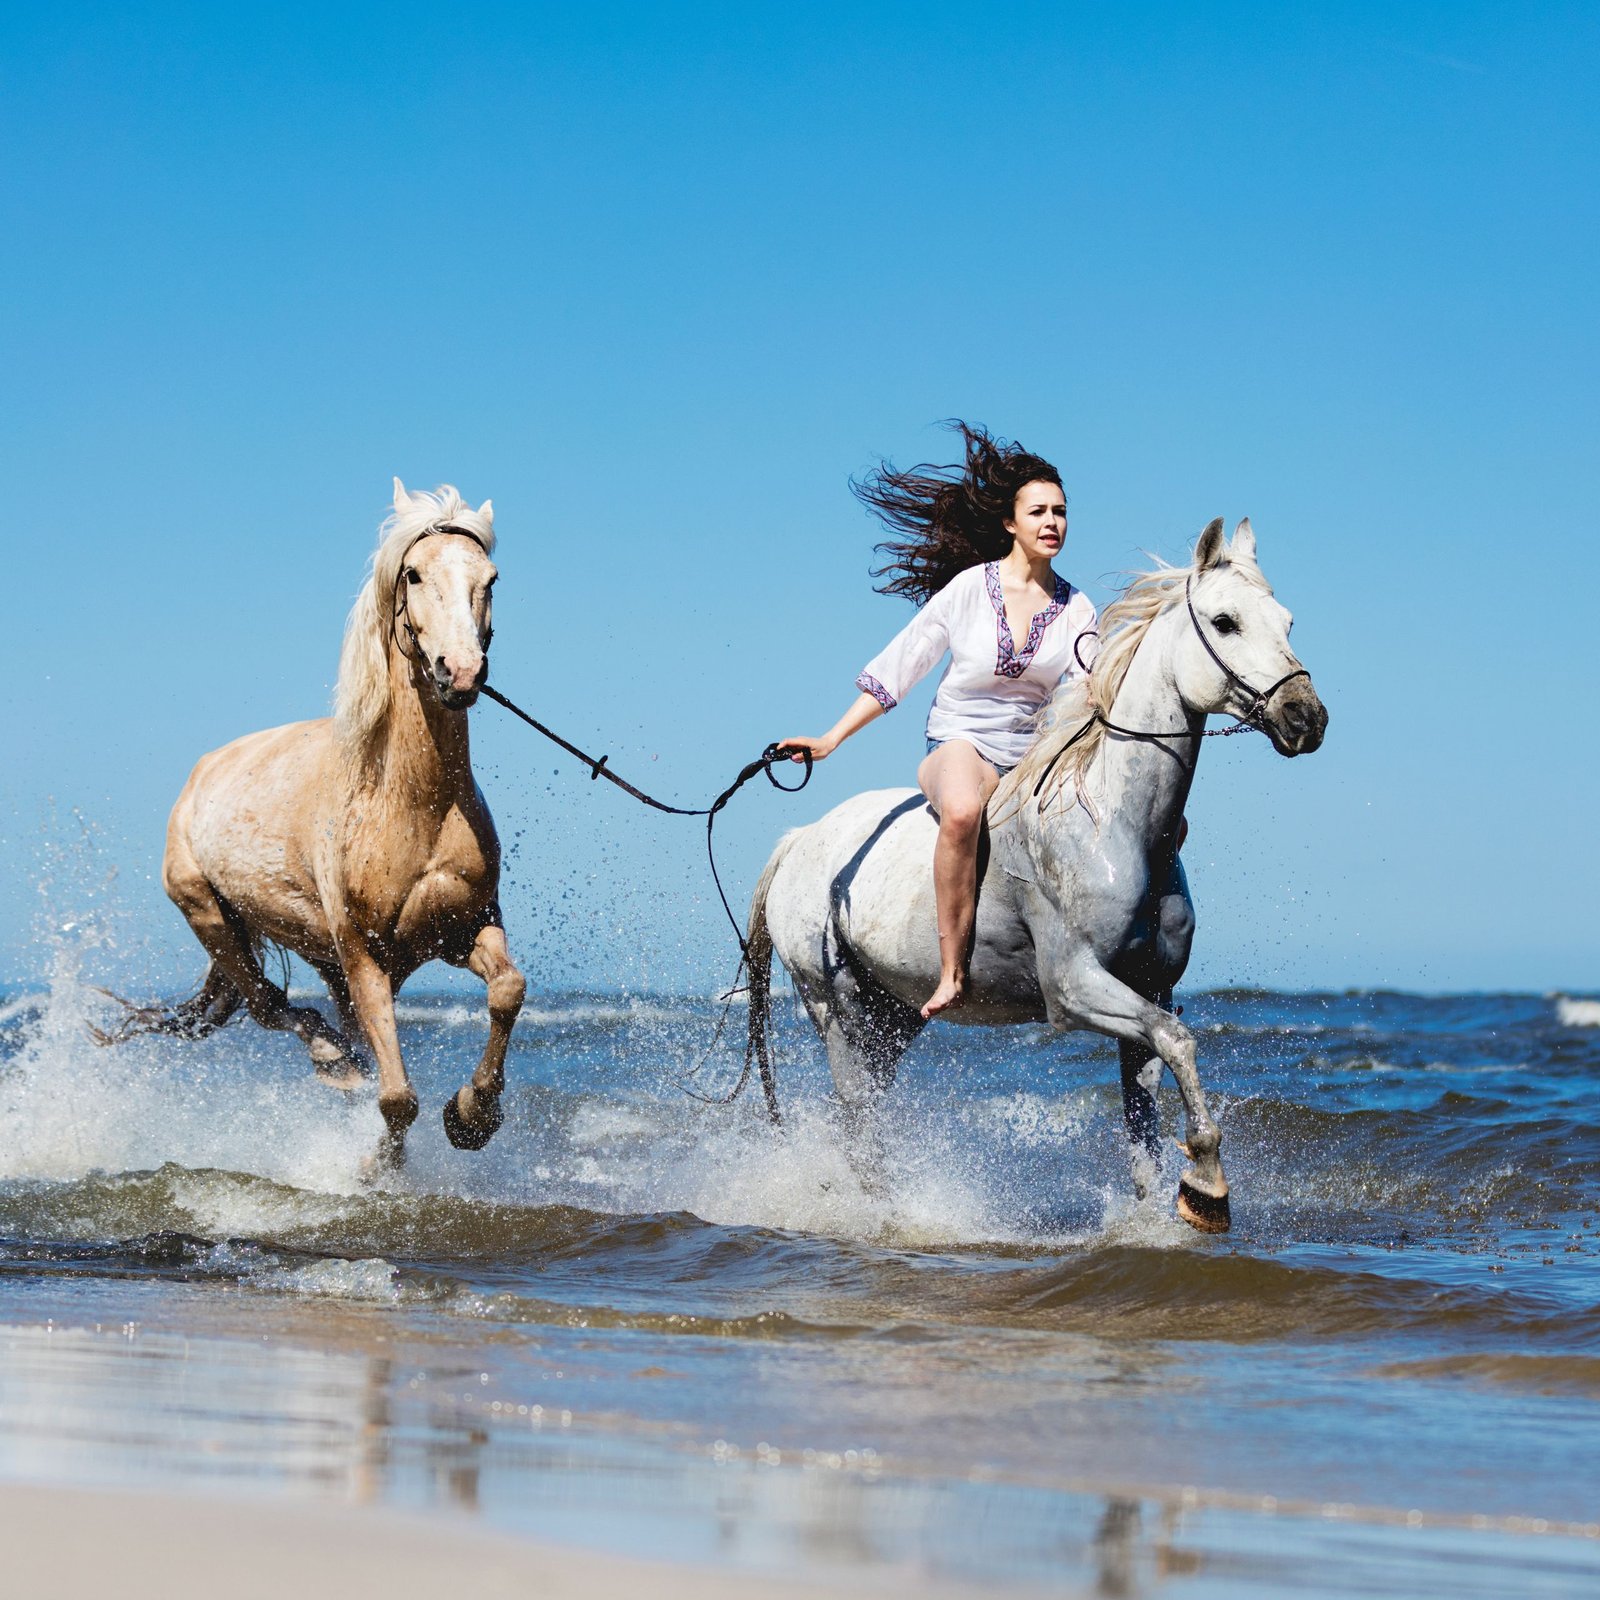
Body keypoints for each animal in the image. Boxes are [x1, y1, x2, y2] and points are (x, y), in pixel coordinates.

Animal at [101, 480, 524, 1171]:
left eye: (490, 578)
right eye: (413, 574)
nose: (459, 672)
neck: (411, 806)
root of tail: (200, 774)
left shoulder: (466, 928)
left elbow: (508, 990)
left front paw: (471, 1116)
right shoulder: (362, 955)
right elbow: (397, 1099)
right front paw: (379, 1169)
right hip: (212, 919)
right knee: (267, 1005)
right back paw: (333, 1060)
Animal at [748, 518, 1324, 1228]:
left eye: (1287, 621)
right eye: (1225, 621)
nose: (1307, 717)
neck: (1112, 821)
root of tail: (799, 841)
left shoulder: (1149, 990)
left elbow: (1146, 1114)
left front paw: (1165, 1207)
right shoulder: (1074, 990)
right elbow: (1180, 1041)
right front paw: (1207, 1189)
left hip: (893, 1017)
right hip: (837, 1009)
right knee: (857, 1121)